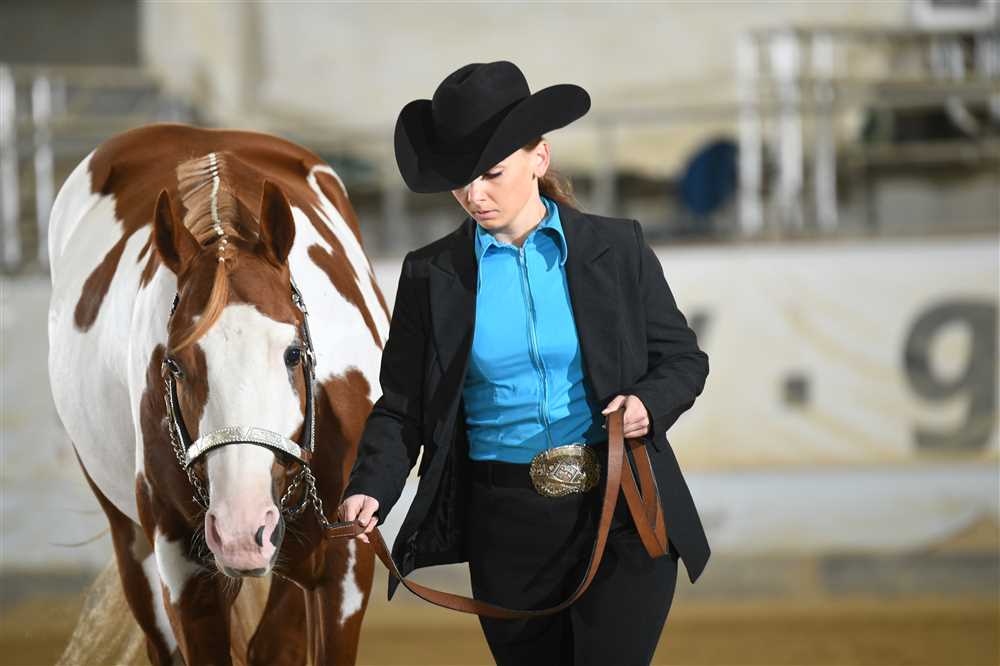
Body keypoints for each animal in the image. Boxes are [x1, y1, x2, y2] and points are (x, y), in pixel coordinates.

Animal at [47, 123, 390, 665]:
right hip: (132, 545)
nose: (240, 529)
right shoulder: (186, 577)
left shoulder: (345, 564)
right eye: (174, 365)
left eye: (293, 352)